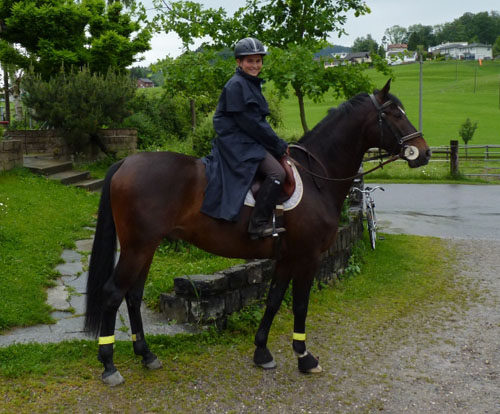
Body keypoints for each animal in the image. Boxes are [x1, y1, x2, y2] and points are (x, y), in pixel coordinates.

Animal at [85, 80, 430, 384]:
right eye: (394, 114)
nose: (424, 152)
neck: (317, 176)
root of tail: (125, 163)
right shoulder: (308, 257)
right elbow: (300, 304)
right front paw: (304, 357)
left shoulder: (287, 258)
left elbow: (274, 299)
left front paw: (262, 352)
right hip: (137, 247)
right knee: (113, 293)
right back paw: (109, 365)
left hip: (146, 247)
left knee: (132, 295)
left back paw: (146, 354)